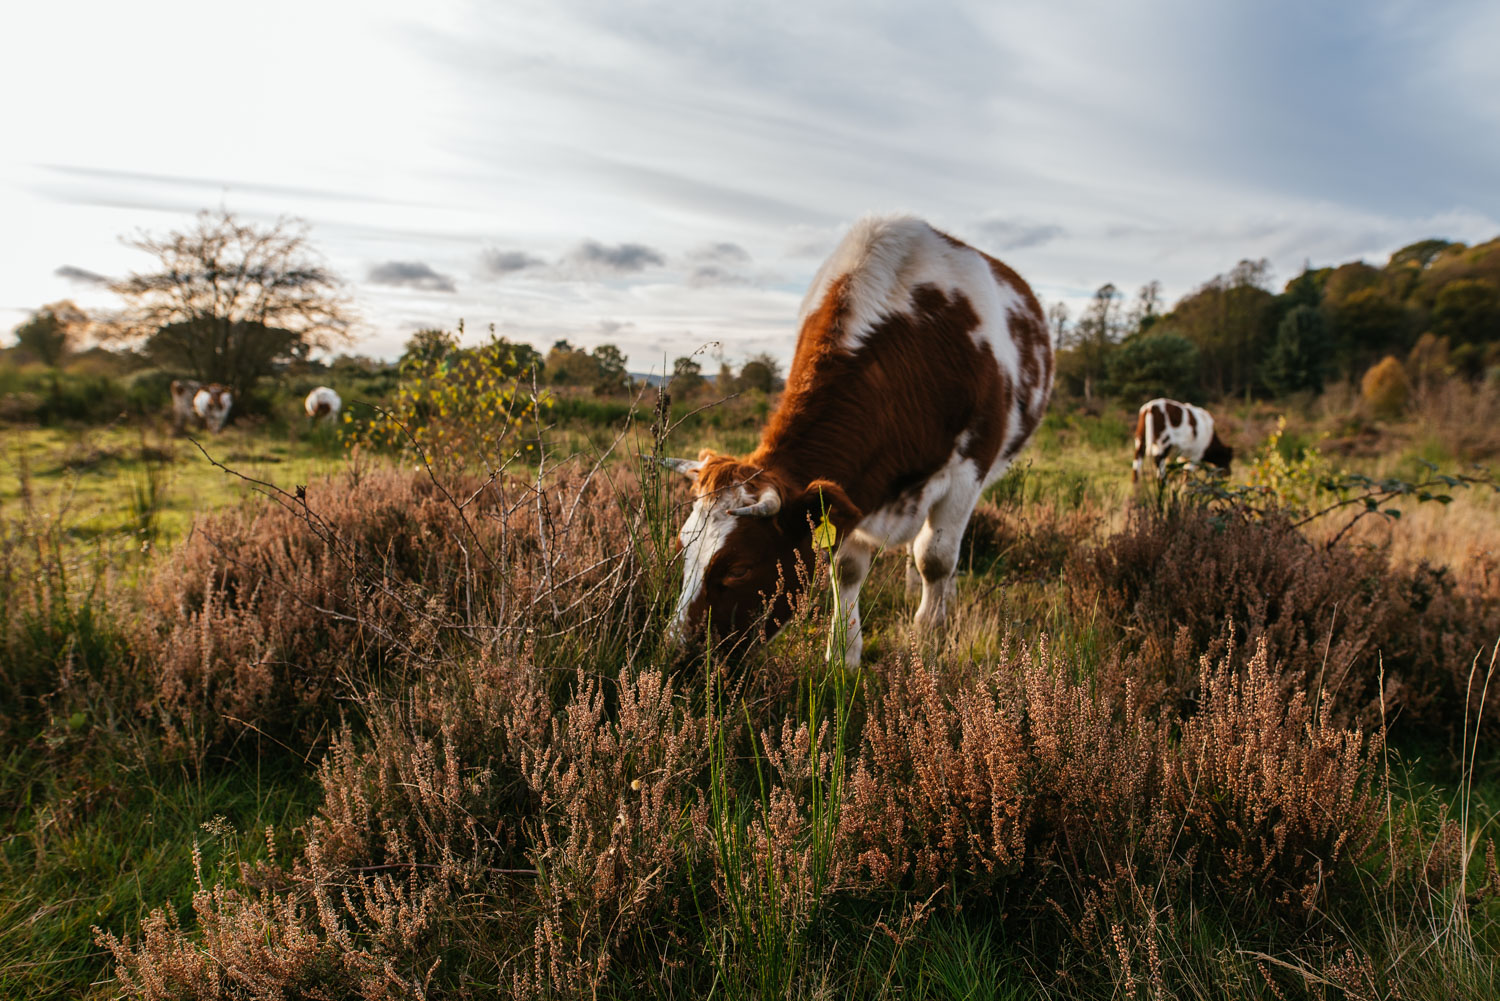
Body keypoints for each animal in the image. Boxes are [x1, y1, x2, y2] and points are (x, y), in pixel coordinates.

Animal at [657, 213, 1056, 666]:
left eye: (738, 568)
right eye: (682, 547)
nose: (676, 652)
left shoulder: (966, 473)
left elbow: (936, 558)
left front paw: (929, 636)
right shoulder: (850, 493)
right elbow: (846, 567)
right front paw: (843, 654)